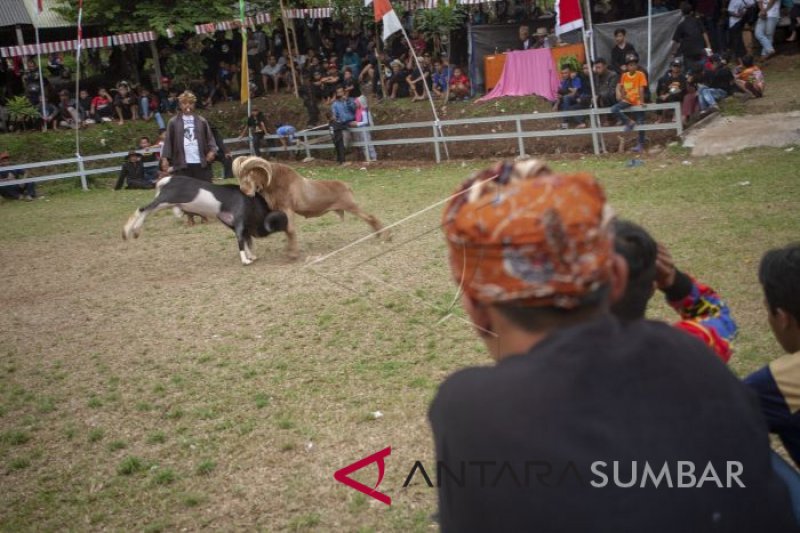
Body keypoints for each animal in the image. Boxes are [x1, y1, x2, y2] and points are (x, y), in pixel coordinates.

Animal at [122, 176, 288, 264]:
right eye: (277, 222)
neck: (250, 201)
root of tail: (167, 180)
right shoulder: (239, 221)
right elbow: (241, 241)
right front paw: (245, 261)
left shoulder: (233, 225)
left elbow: (246, 241)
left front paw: (251, 256)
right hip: (165, 200)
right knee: (142, 209)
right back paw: (129, 231)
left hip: (166, 203)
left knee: (144, 210)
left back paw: (133, 232)